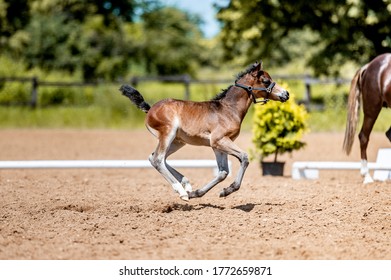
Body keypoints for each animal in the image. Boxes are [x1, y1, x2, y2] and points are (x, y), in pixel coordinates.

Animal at [118, 61, 288, 201]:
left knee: (156, 157)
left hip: (178, 141)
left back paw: (187, 185)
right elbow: (244, 158)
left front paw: (201, 193)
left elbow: (222, 172)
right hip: (168, 134)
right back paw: (181, 191)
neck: (228, 109)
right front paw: (229, 189)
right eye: (266, 81)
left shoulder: (218, 145)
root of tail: (150, 109)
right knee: (158, 159)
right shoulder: (219, 140)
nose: (286, 94)